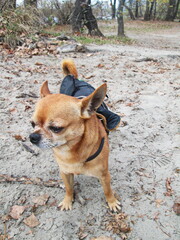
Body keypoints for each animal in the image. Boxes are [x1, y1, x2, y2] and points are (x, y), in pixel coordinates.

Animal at [29, 60, 120, 212]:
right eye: (32, 124)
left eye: (56, 128)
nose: (32, 137)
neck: (70, 150)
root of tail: (74, 78)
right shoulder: (65, 173)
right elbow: (68, 188)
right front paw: (68, 201)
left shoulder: (104, 175)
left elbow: (108, 190)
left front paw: (112, 202)